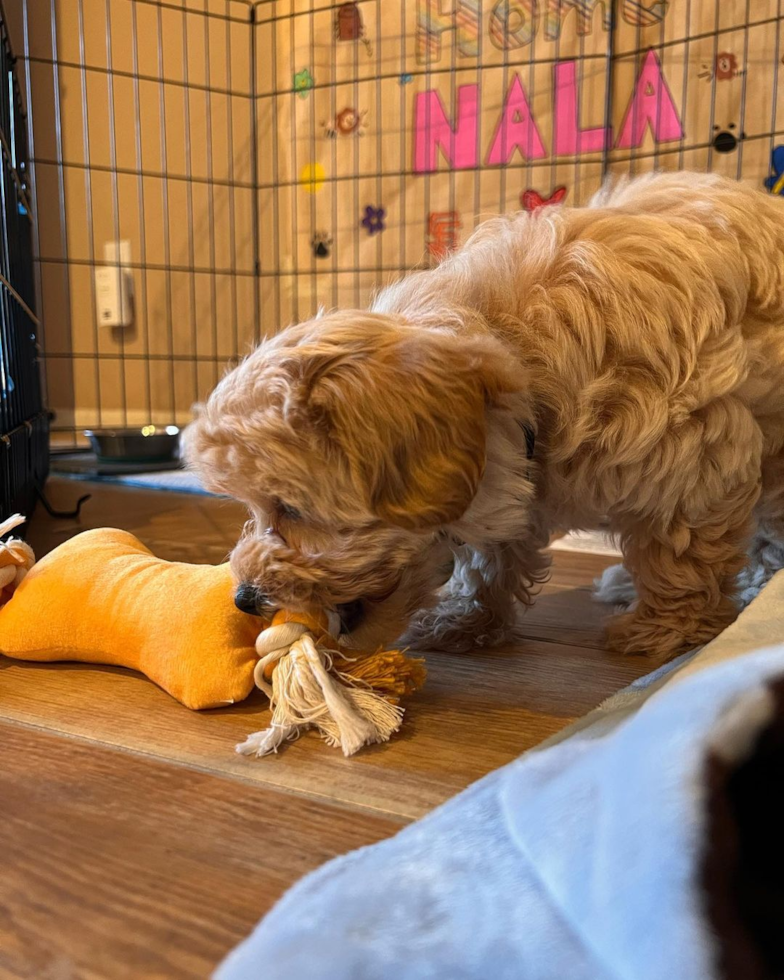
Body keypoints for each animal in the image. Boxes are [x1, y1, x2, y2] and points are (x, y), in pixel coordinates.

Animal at [185, 174, 784, 668]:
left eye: (290, 508)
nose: (244, 598)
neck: (520, 347)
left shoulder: (697, 452)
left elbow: (680, 550)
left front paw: (665, 629)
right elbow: (489, 551)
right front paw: (467, 619)